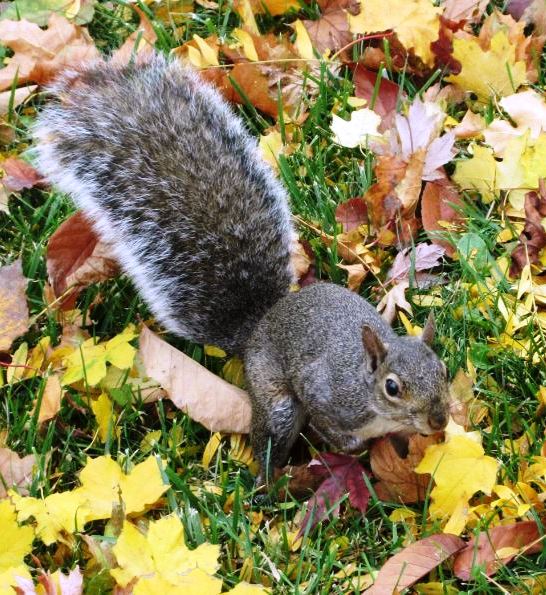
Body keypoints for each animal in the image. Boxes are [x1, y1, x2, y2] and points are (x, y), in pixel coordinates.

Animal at [34, 54, 450, 483]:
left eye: (442, 369)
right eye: (392, 387)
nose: (439, 420)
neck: (365, 386)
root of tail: (258, 326)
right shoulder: (324, 391)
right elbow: (329, 424)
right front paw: (354, 448)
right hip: (275, 400)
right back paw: (271, 480)